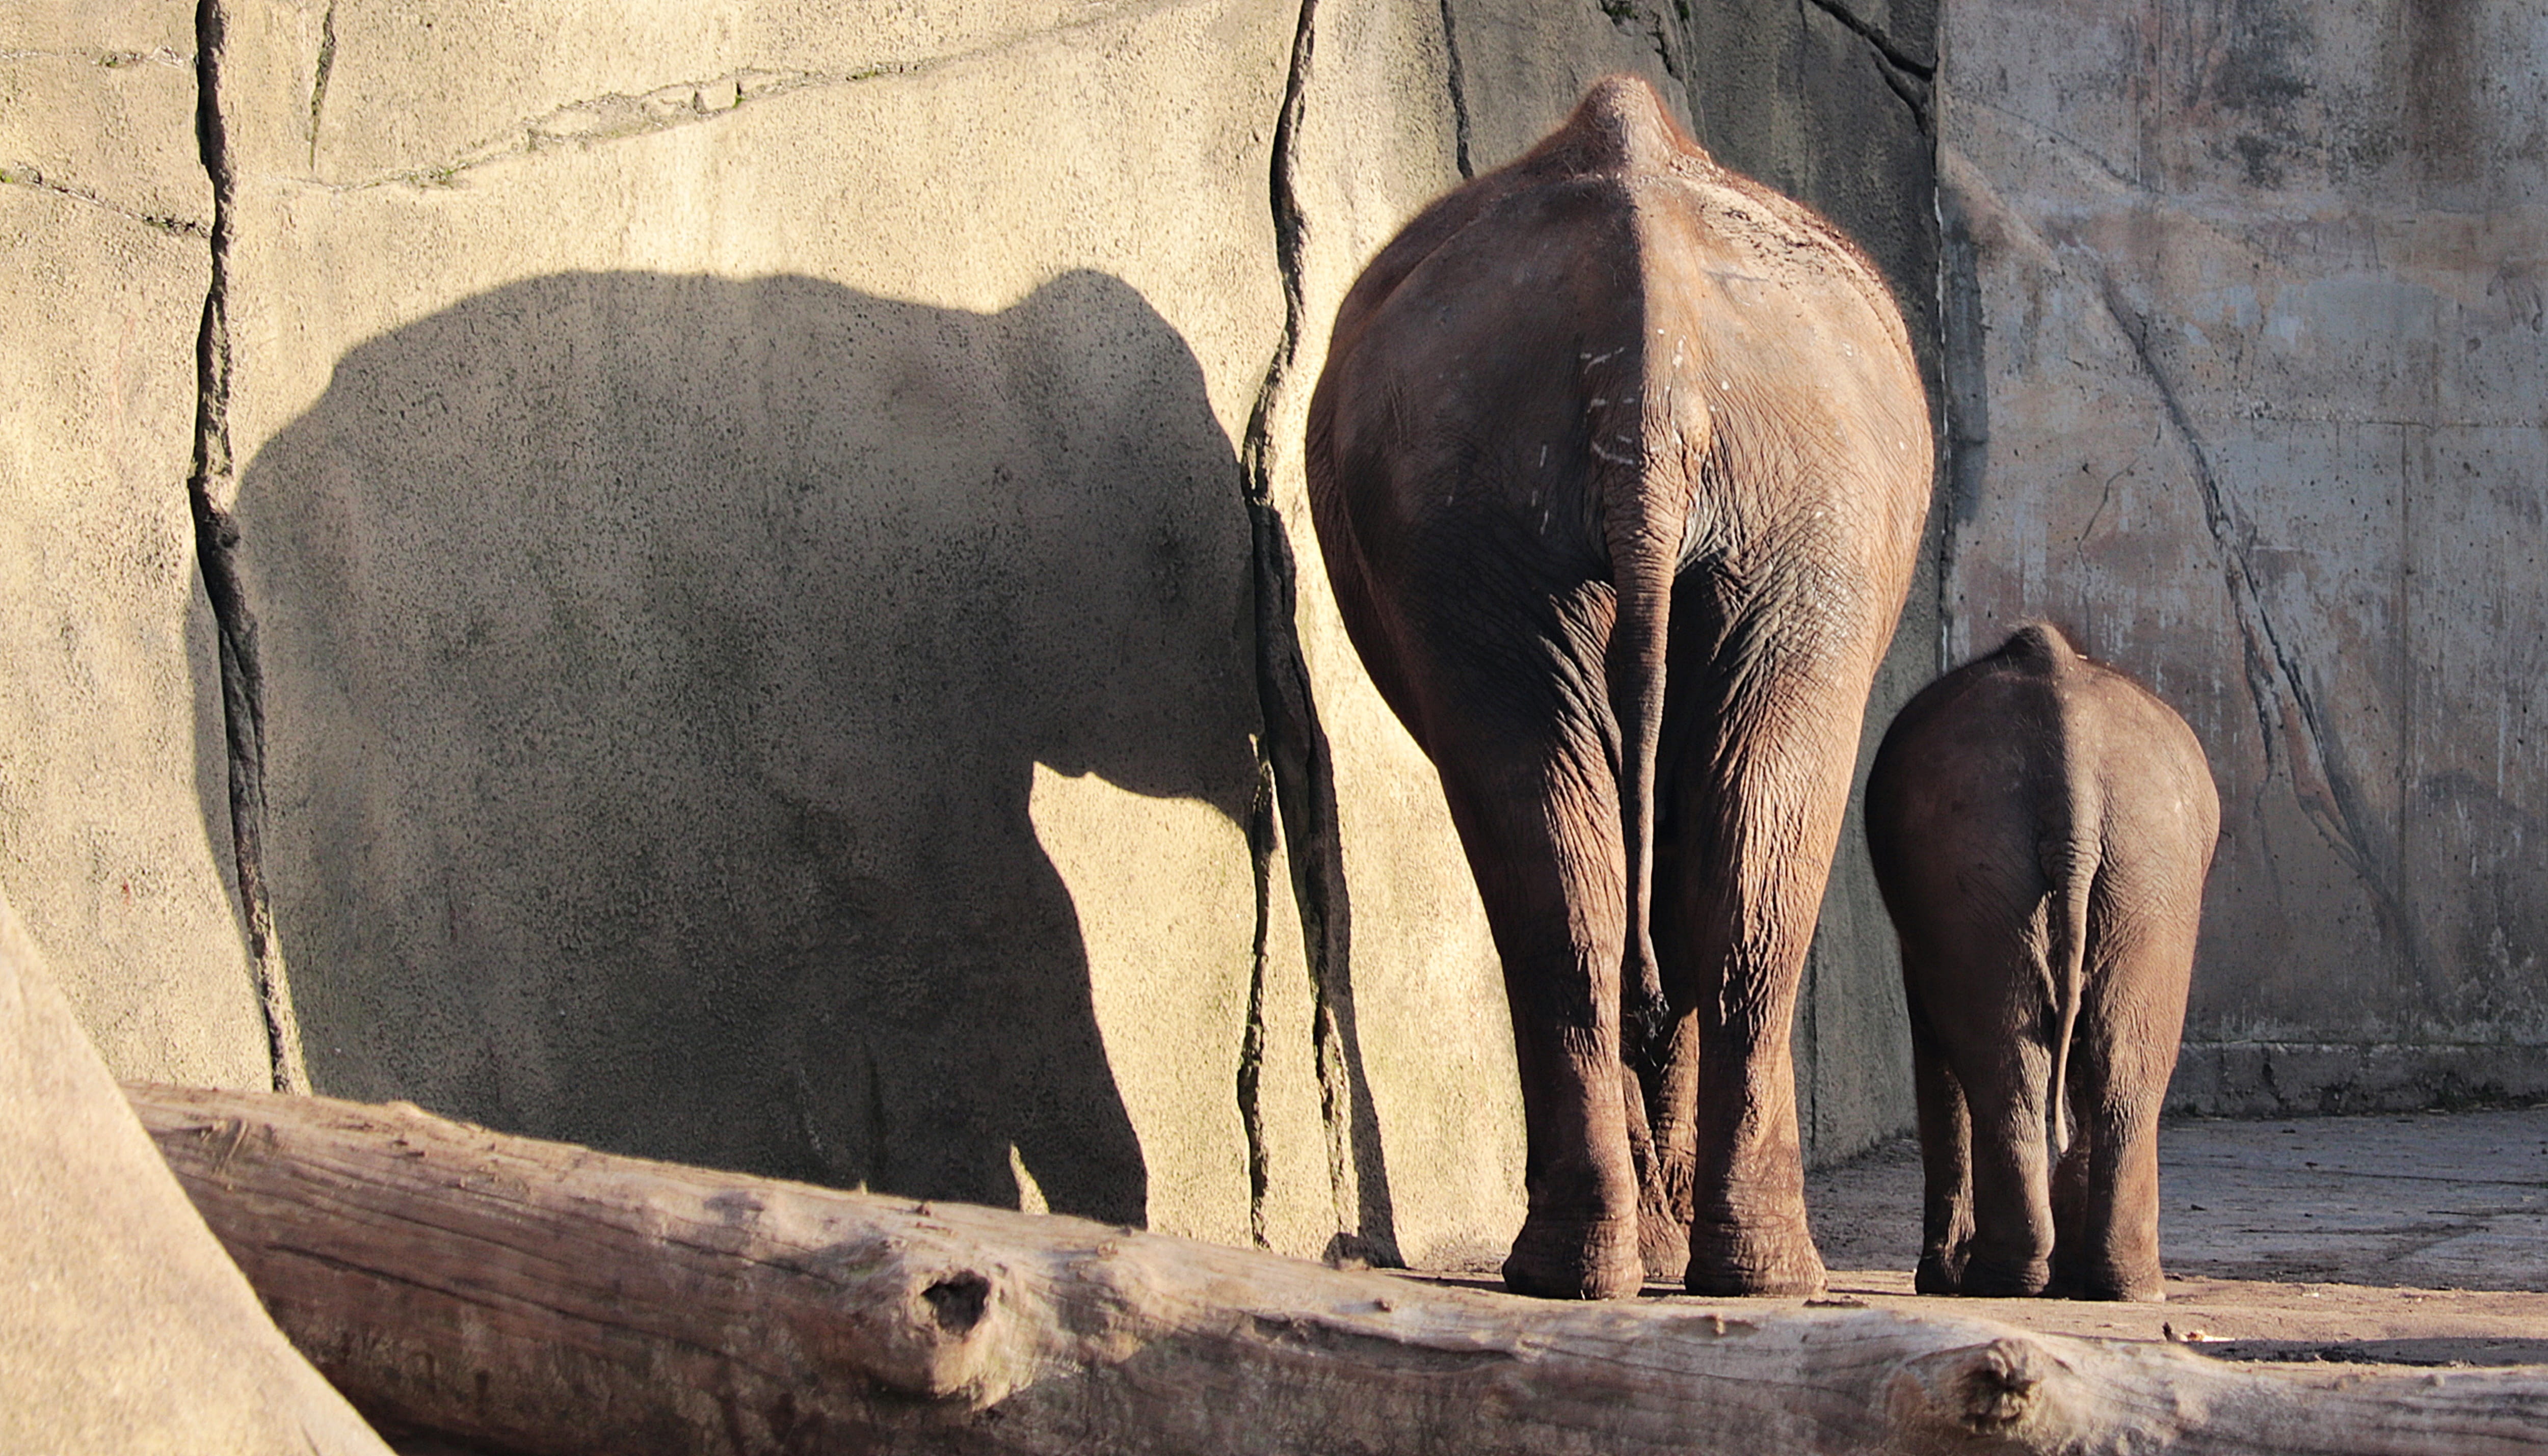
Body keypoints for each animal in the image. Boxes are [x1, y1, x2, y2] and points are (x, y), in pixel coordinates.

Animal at [1304, 75, 1931, 1298]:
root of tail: (1656, 373)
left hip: (1675, 514)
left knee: (1631, 859)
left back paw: (1650, 1265)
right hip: (1721, 510)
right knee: (1672, 865)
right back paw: (1670, 1266)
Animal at [1864, 622, 2219, 1301]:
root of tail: (2069, 765)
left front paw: (1941, 1278)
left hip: (1996, 863)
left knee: (2012, 1062)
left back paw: (2003, 1280)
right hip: (2139, 869)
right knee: (2118, 1066)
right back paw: (2114, 1284)